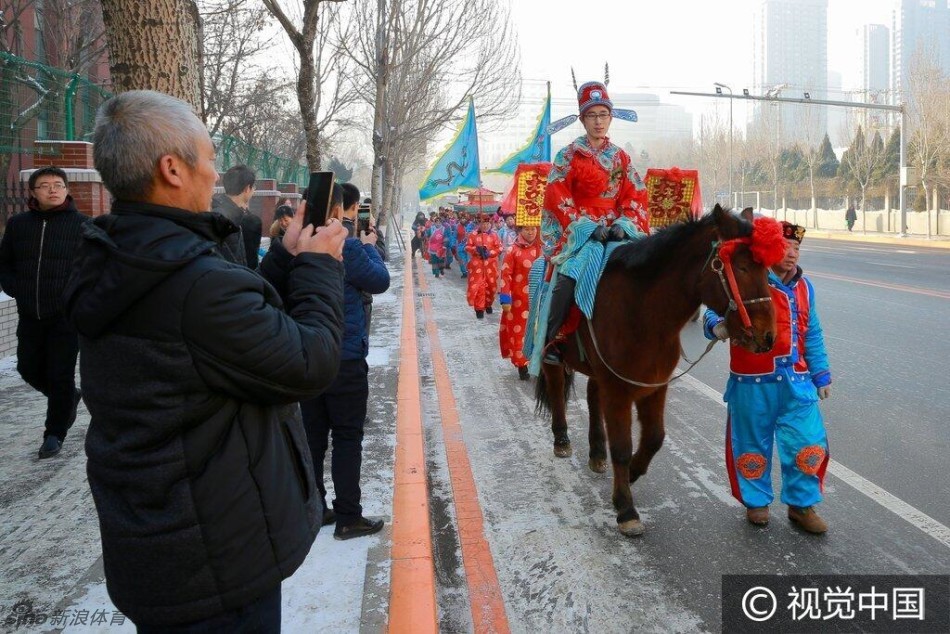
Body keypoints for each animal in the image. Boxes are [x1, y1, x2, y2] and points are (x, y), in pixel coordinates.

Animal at [536, 205, 780, 536]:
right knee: (555, 386)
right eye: (740, 267)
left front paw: (633, 472)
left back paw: (597, 453)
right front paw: (625, 508)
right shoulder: (618, 388)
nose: (767, 337)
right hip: (551, 351)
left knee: (592, 394)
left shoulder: (654, 384)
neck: (643, 314)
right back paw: (561, 440)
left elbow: (654, 438)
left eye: (765, 270)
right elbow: (622, 446)